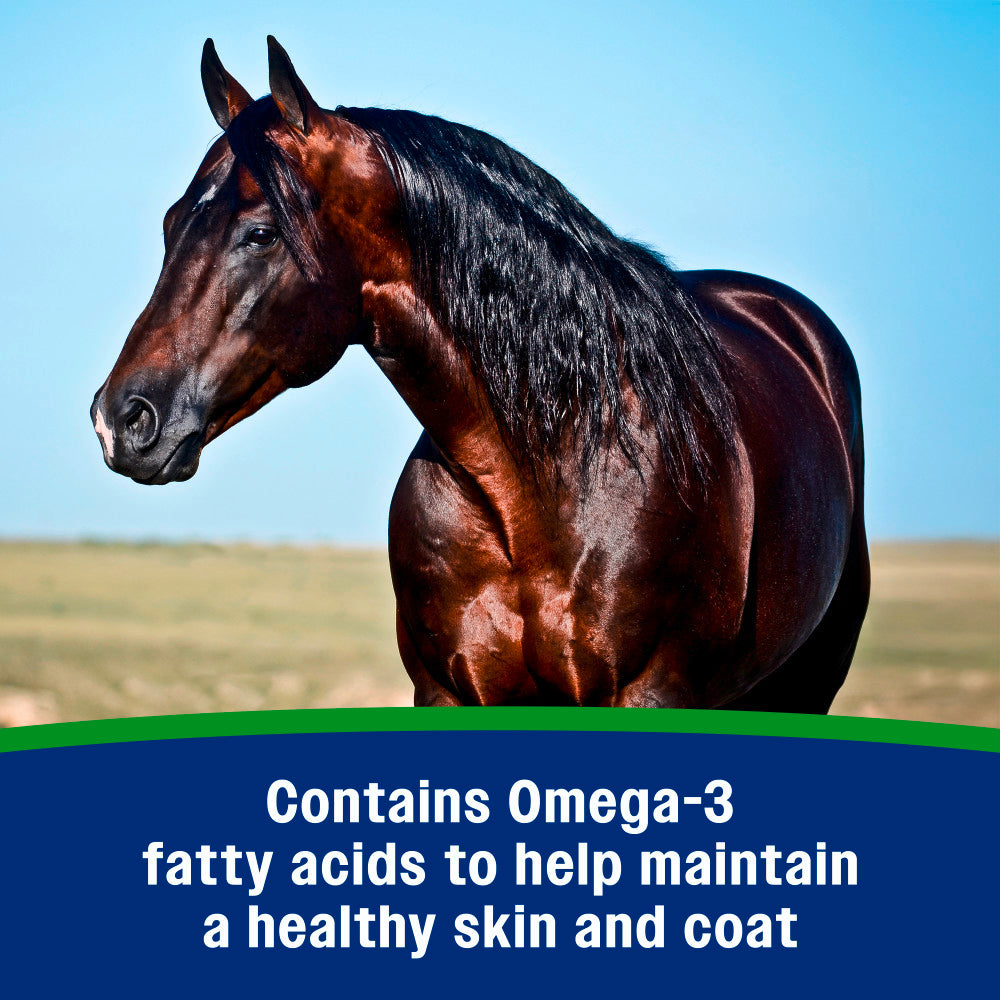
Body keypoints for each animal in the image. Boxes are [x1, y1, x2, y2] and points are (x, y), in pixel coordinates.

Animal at [91, 37, 869, 711]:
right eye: (171, 224)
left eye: (260, 233)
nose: (122, 419)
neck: (545, 475)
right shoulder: (450, 690)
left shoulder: (650, 693)